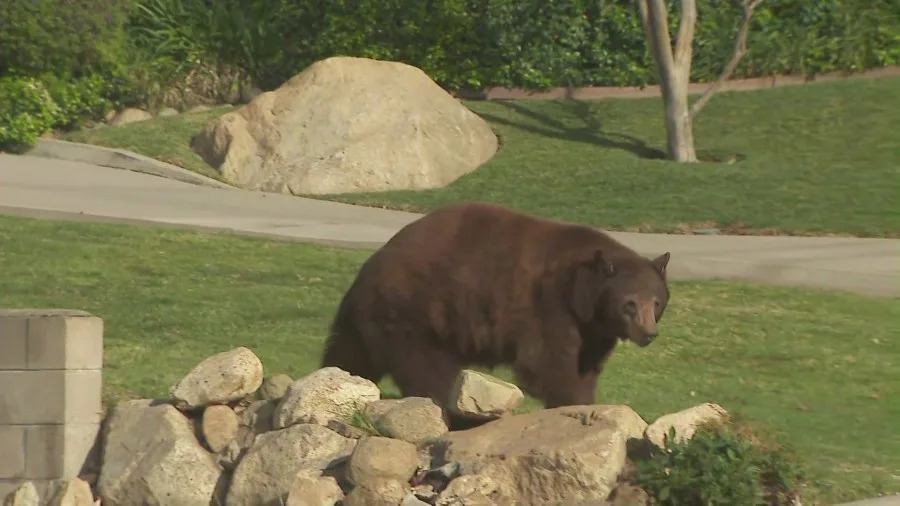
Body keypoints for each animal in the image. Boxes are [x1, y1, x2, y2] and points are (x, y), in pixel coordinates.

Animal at [320, 201, 671, 411]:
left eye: (656, 302)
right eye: (630, 303)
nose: (648, 333)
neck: (582, 295)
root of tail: (372, 263)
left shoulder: (592, 331)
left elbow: (586, 364)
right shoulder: (548, 307)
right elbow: (547, 364)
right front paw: (573, 401)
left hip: (374, 319)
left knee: (349, 353)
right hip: (414, 313)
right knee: (428, 369)